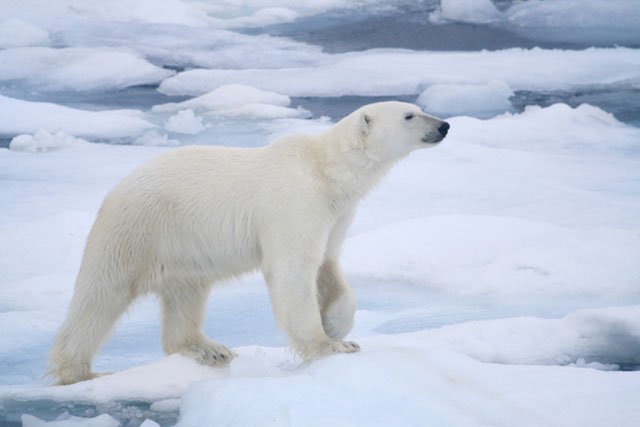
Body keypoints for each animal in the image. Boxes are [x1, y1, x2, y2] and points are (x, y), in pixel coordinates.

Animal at [48, 101, 449, 385]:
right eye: (410, 115)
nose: (444, 125)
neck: (326, 169)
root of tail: (115, 190)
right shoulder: (294, 199)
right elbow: (293, 269)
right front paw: (330, 345)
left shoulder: (335, 212)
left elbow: (327, 263)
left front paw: (336, 325)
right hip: (137, 230)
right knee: (102, 295)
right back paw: (80, 372)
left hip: (182, 249)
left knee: (186, 294)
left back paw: (207, 349)